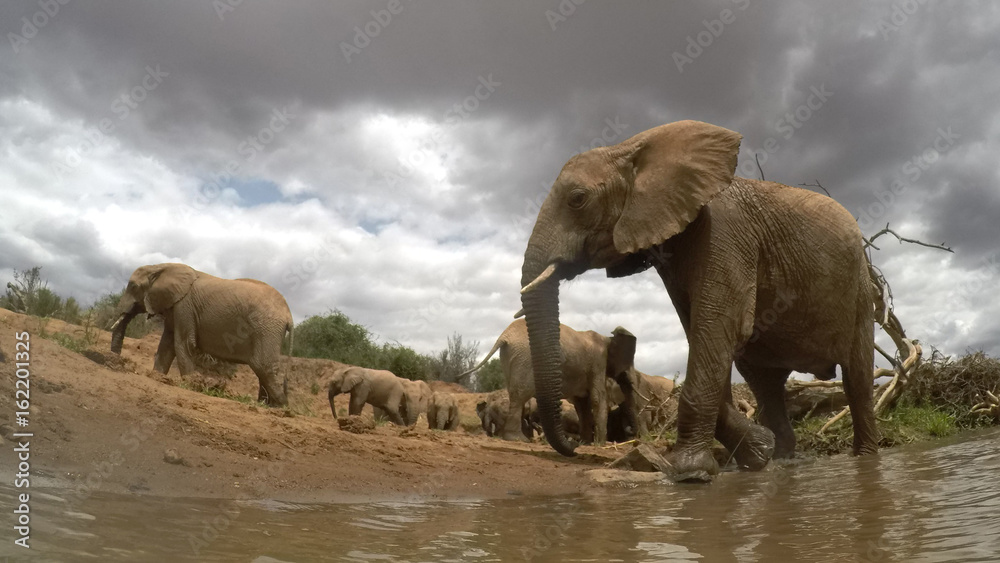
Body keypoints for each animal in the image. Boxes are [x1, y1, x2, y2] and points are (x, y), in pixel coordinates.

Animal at [109, 263, 293, 407]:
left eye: (133, 286)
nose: (117, 361)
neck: (161, 266)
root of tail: (288, 315)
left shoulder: (185, 306)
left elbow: (183, 344)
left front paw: (190, 384)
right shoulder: (175, 307)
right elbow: (166, 345)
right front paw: (158, 377)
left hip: (266, 328)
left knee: (263, 365)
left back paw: (280, 407)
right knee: (262, 368)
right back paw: (265, 404)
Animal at [459, 319, 638, 446]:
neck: (608, 338)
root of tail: (504, 336)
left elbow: (582, 404)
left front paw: (585, 443)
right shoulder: (597, 362)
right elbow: (597, 398)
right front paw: (600, 444)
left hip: (510, 357)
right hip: (526, 357)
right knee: (521, 394)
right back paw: (519, 439)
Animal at [519, 120, 878, 481]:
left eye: (577, 199)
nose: (573, 447)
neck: (630, 147)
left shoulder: (724, 234)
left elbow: (718, 330)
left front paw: (688, 472)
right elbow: (702, 335)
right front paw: (757, 452)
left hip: (861, 286)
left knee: (857, 379)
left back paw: (863, 457)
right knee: (766, 385)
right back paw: (779, 459)